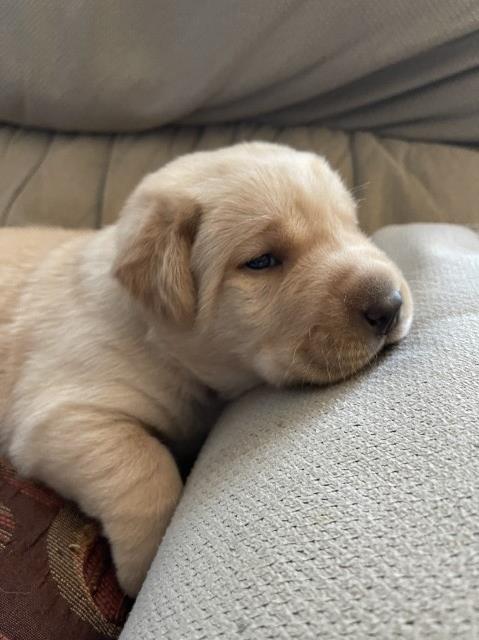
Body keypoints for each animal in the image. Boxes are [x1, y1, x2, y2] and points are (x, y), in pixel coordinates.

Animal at [0, 142, 412, 596]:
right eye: (262, 261)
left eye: (351, 226)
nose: (390, 305)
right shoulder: (63, 411)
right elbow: (146, 466)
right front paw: (143, 569)